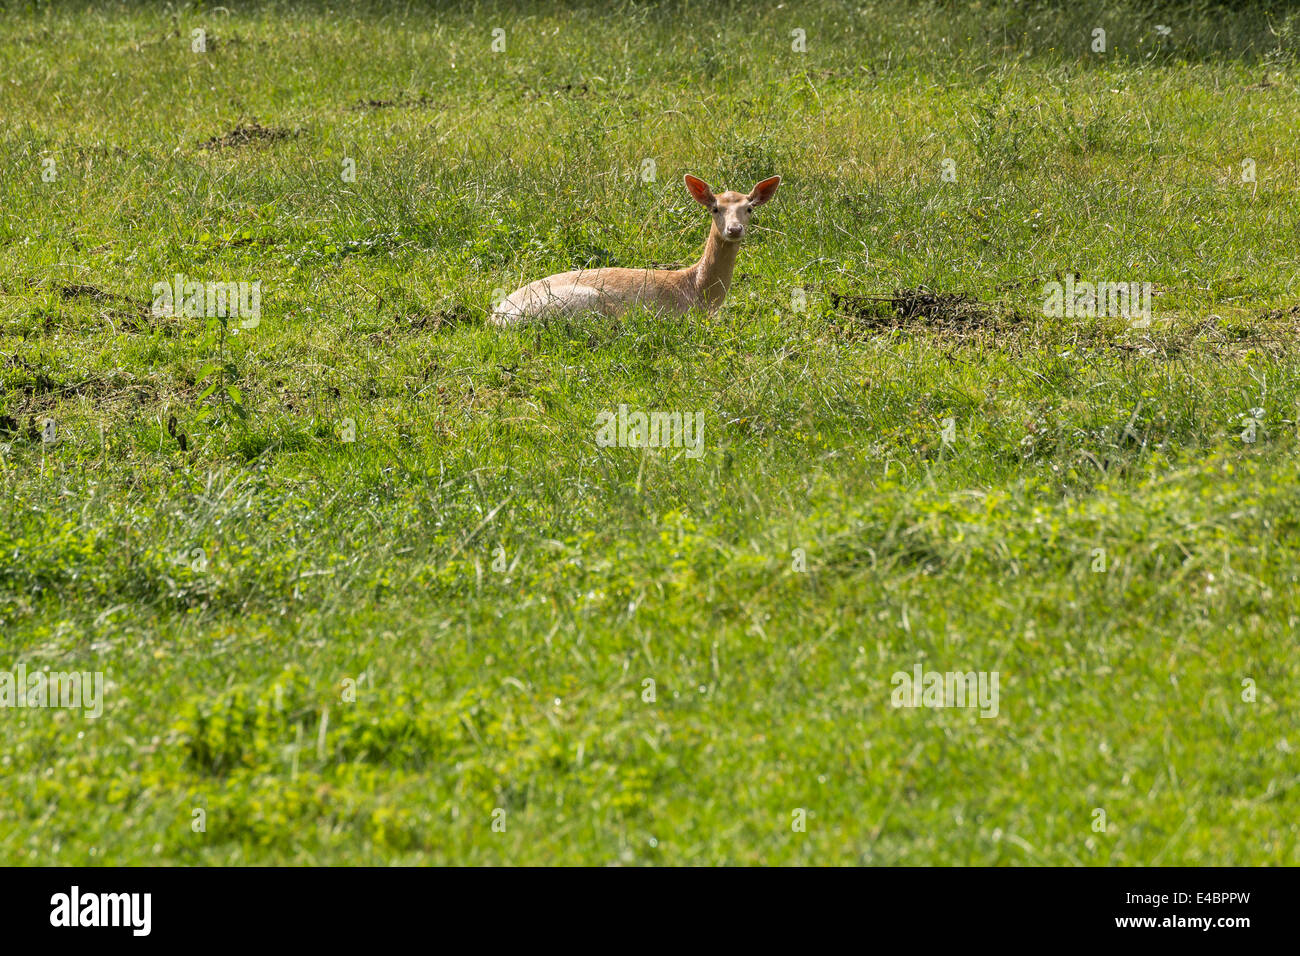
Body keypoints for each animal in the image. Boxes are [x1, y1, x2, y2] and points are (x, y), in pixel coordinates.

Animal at [488, 176, 780, 329]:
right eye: (715, 208)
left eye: (749, 208)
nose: (734, 229)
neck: (697, 292)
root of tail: (496, 318)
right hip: (584, 303)